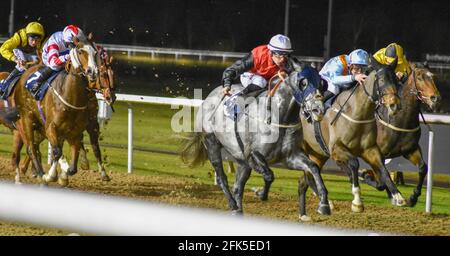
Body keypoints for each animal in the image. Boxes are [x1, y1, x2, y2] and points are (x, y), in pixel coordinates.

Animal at [298, 58, 406, 218]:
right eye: (381, 79)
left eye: (396, 81)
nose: (394, 105)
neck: (356, 113)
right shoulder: (337, 150)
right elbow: (354, 164)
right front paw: (357, 202)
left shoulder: (370, 149)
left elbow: (383, 171)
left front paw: (397, 196)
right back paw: (325, 204)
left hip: (317, 154)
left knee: (305, 179)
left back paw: (316, 208)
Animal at [360, 64, 442, 206]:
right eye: (419, 77)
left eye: (433, 77)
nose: (435, 98)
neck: (399, 120)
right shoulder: (375, 153)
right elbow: (381, 180)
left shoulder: (410, 150)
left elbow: (423, 168)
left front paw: (413, 197)